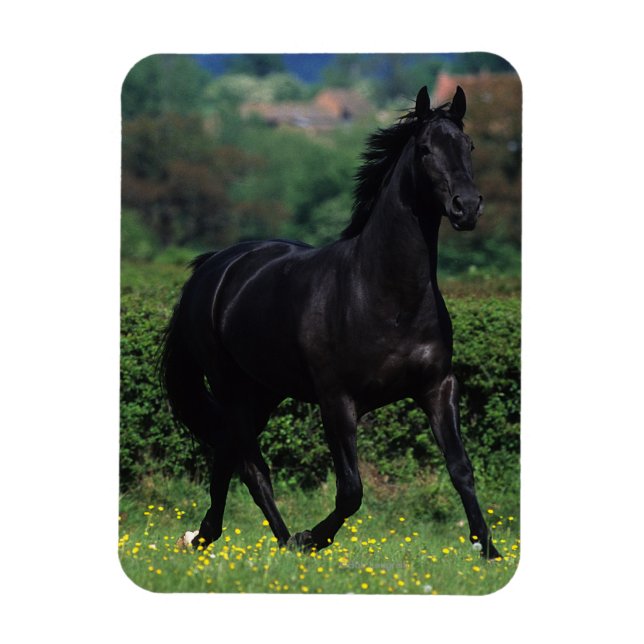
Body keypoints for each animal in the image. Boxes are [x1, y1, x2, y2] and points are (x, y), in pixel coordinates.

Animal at [160, 85, 502, 559]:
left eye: (468, 146)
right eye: (426, 149)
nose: (466, 207)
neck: (385, 296)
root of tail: (212, 267)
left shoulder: (437, 388)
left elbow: (461, 469)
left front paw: (490, 551)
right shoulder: (337, 401)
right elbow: (351, 491)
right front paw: (313, 538)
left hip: (263, 392)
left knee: (230, 457)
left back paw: (222, 537)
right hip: (231, 387)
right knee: (249, 466)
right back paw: (273, 540)